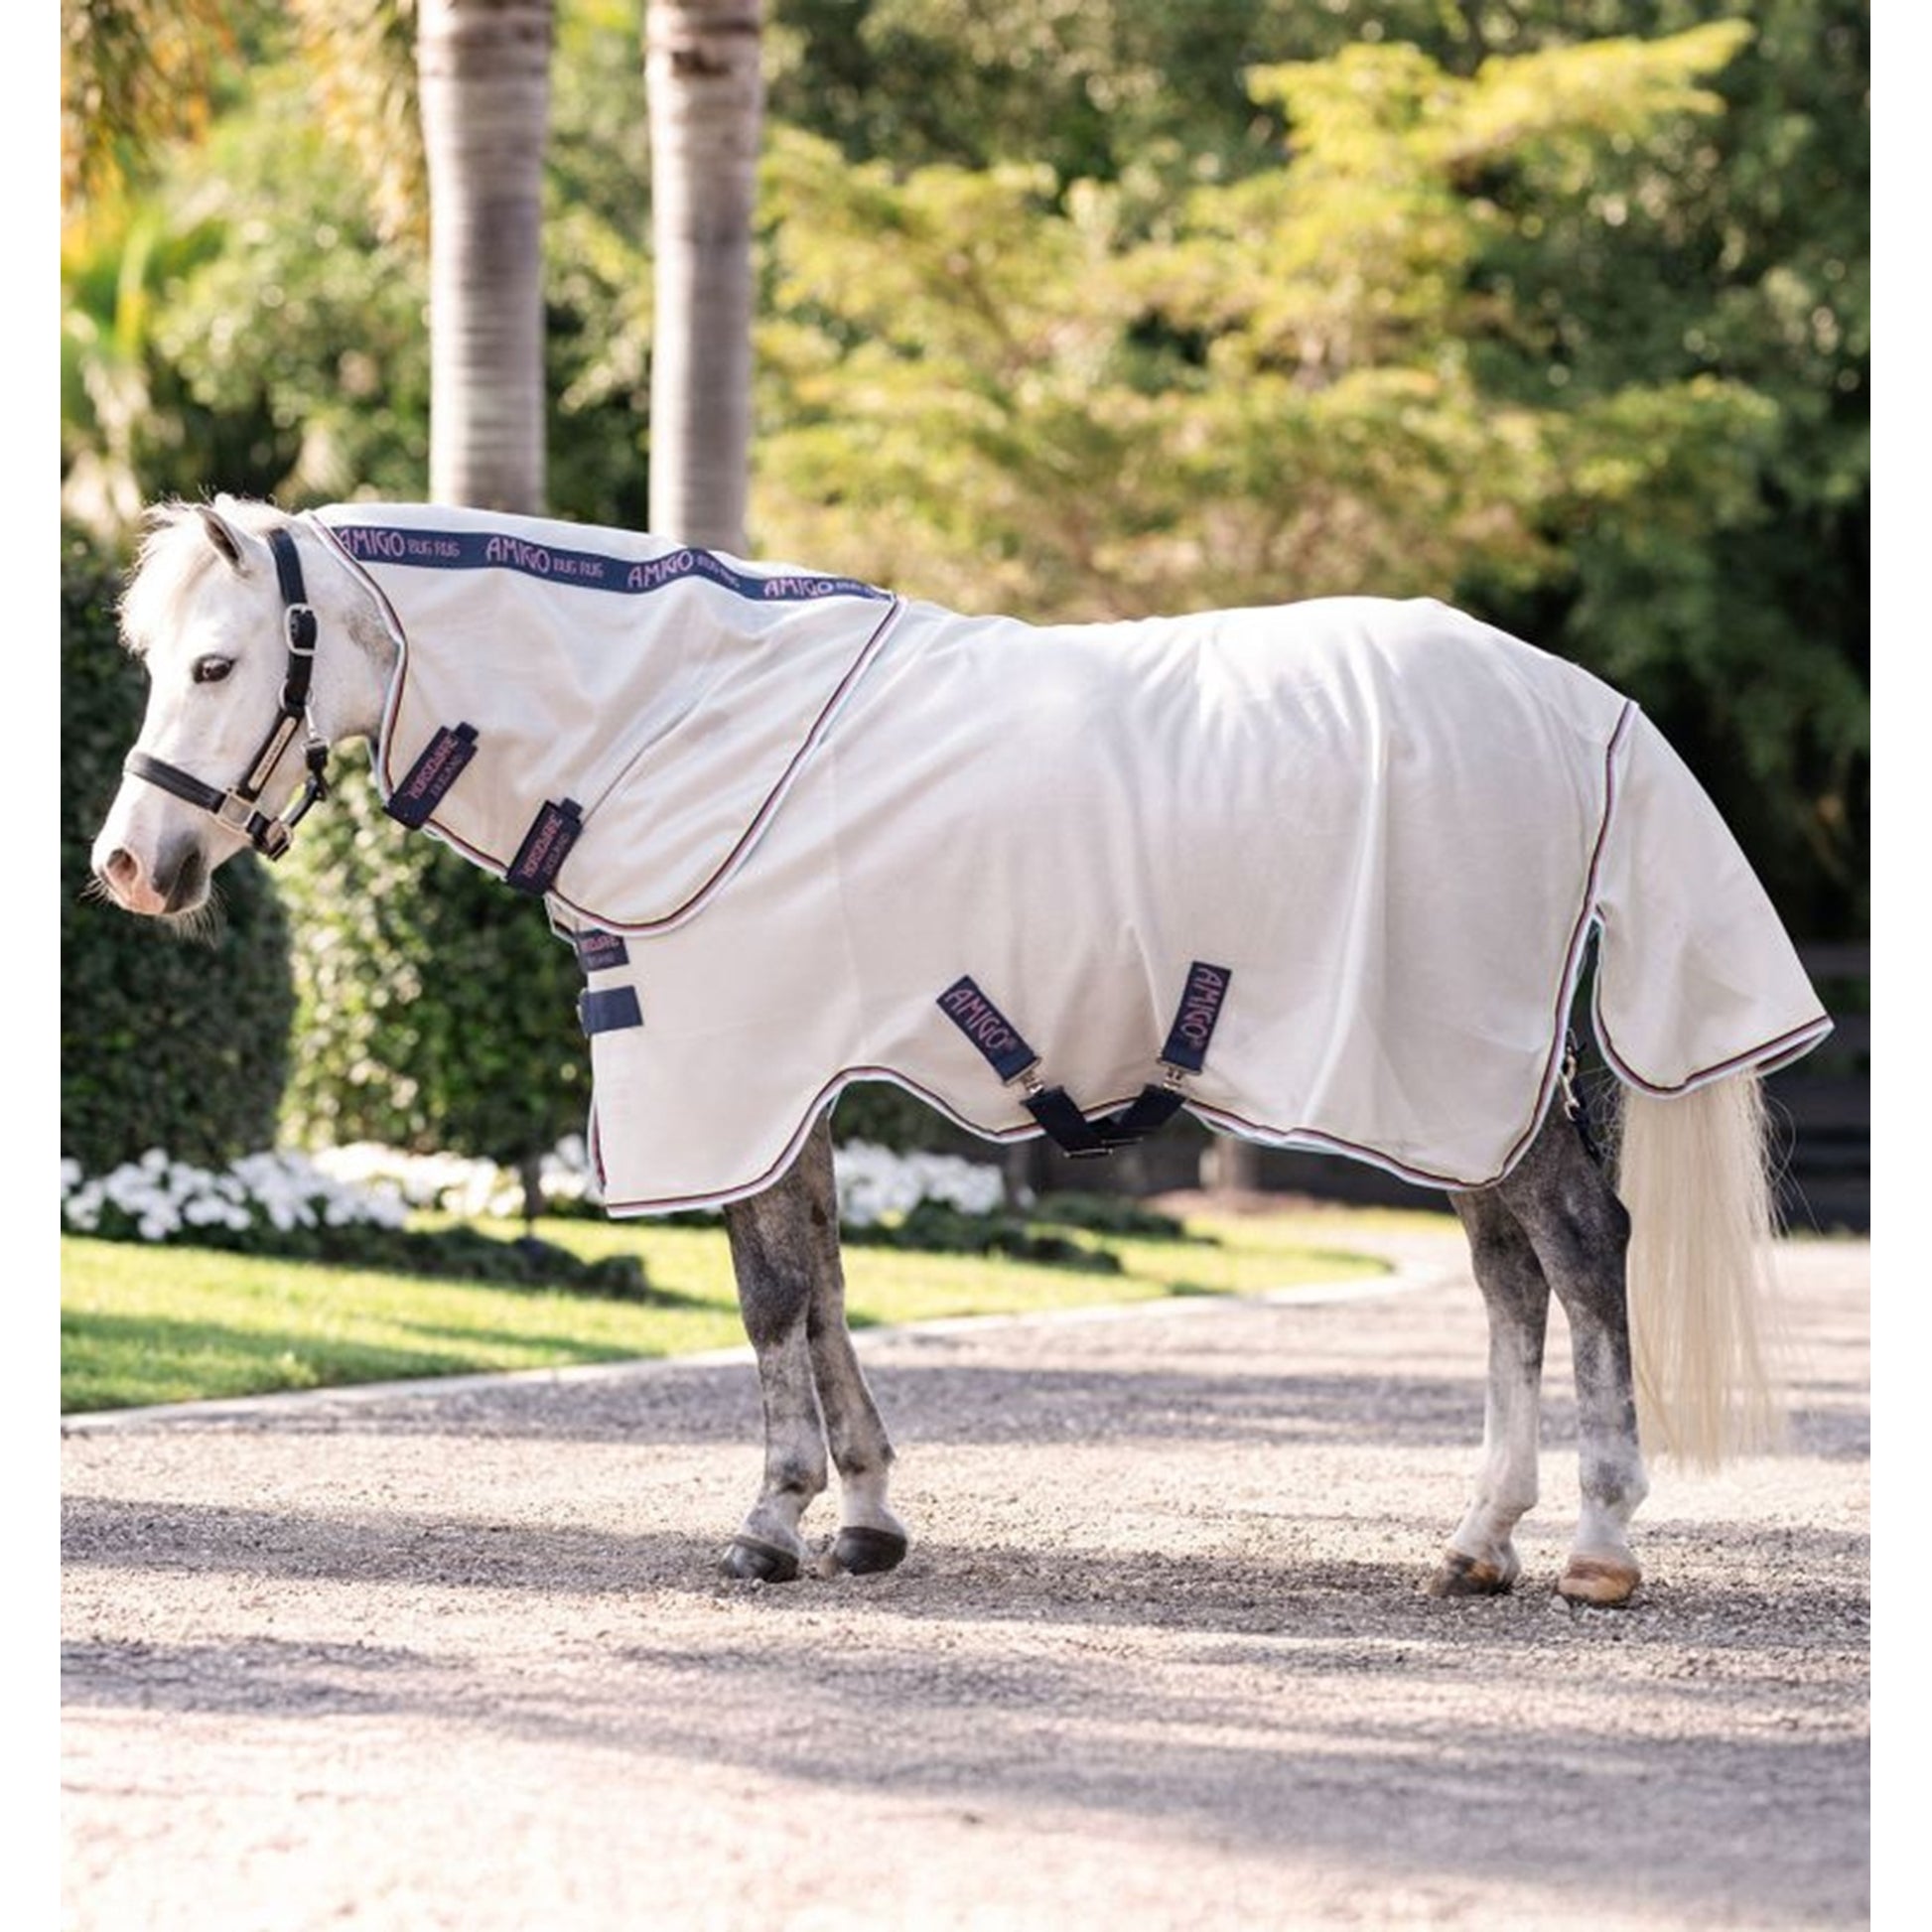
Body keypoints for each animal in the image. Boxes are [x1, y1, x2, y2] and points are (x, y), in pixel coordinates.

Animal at [88, 496, 1830, 1608]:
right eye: (158, 661)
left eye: (220, 663)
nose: (128, 868)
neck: (676, 718)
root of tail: (1583, 705)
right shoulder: (787, 1077)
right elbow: (822, 1281)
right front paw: (862, 1518)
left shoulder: (733, 1061)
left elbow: (770, 1295)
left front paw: (771, 1523)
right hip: (1458, 1085)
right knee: (1509, 1273)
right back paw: (1480, 1538)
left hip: (1451, 1067)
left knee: (1580, 1246)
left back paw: (1598, 1548)